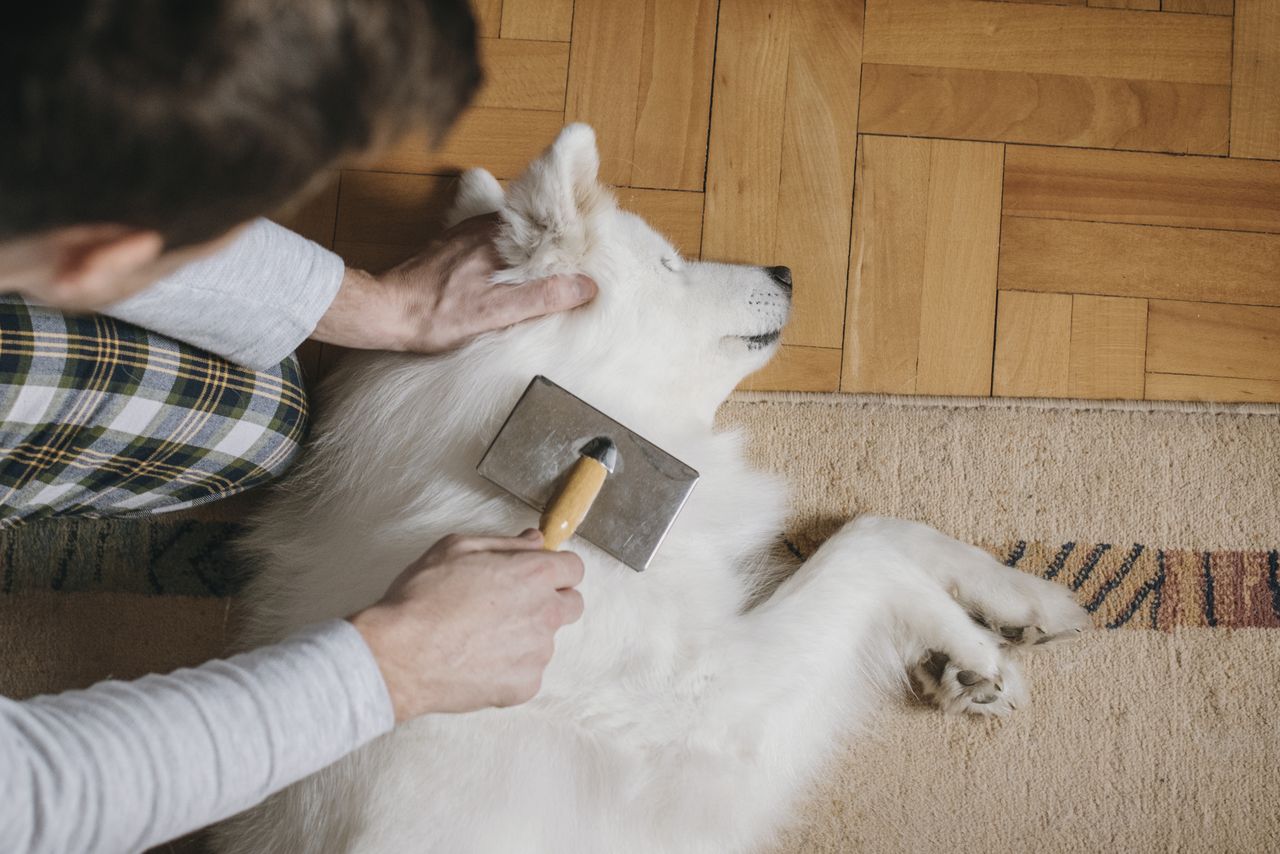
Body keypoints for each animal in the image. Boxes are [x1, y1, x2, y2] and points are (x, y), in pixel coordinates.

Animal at [217, 126, 1090, 854]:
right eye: (669, 265)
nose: (785, 269)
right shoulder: (708, 713)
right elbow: (860, 554)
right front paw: (973, 648)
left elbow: (884, 528)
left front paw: (1013, 608)